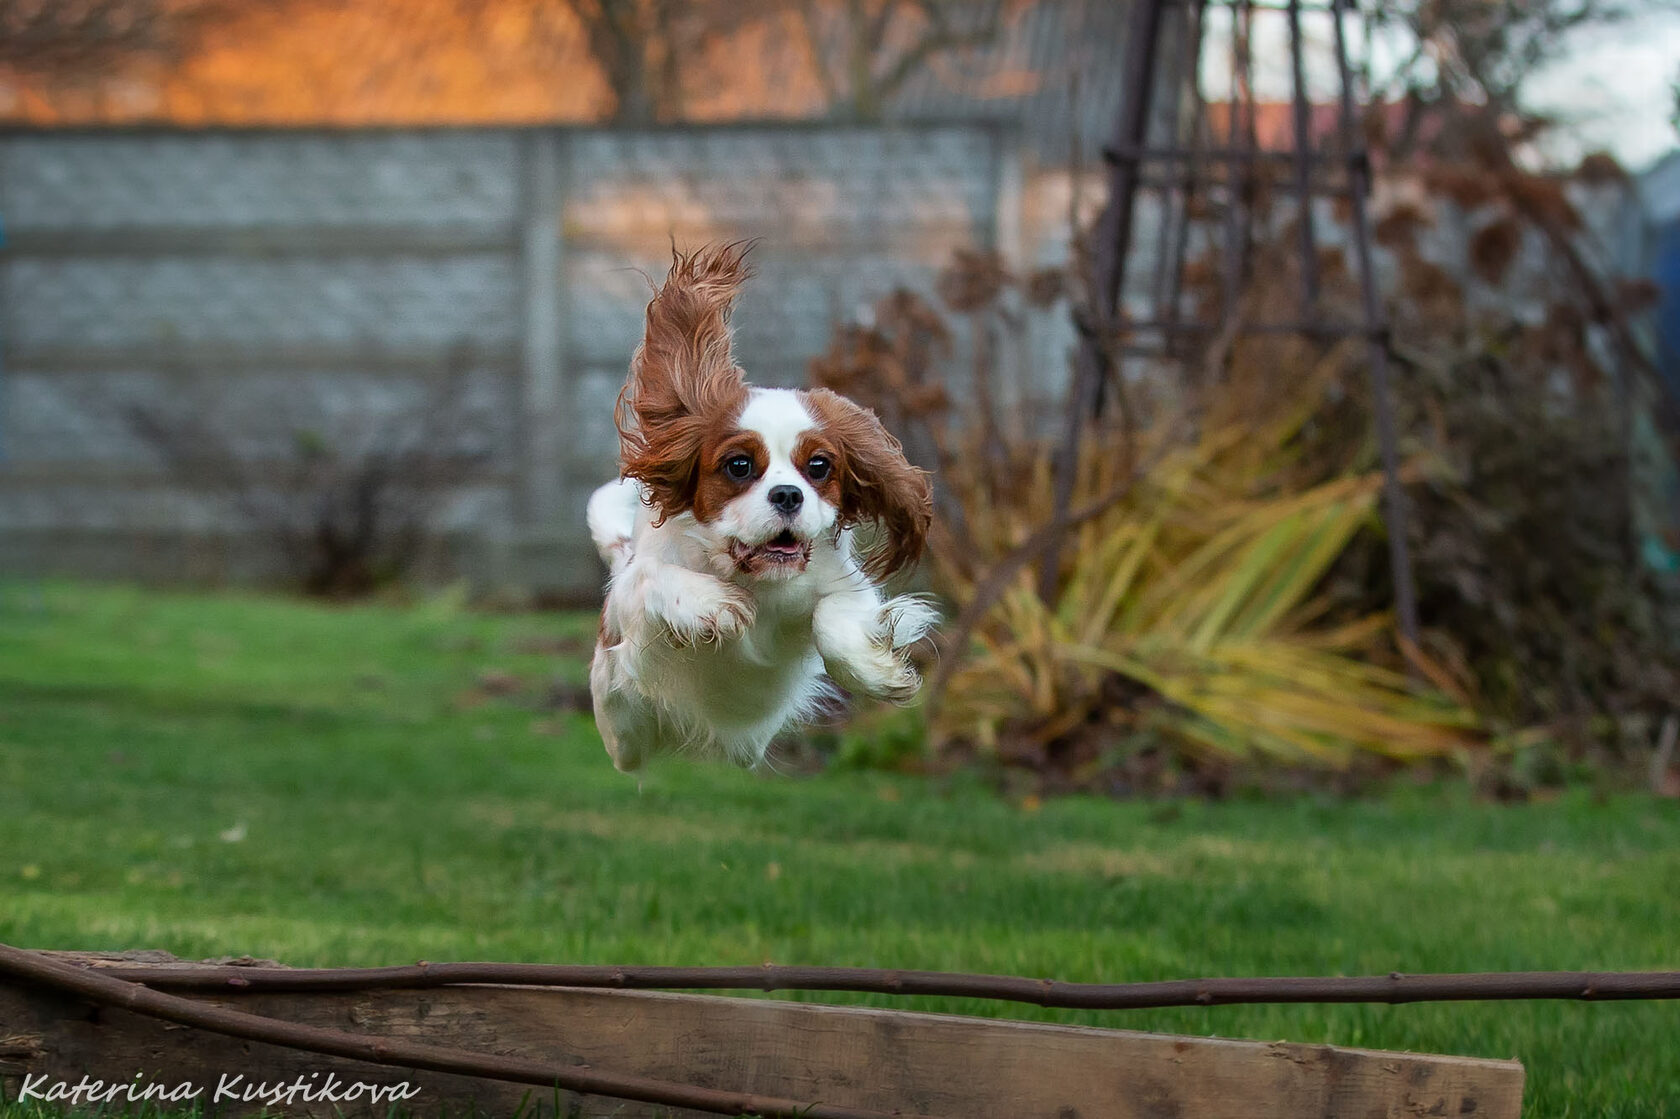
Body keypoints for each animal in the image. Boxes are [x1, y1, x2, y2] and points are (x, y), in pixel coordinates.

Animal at [588, 241, 934, 766]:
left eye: (819, 467)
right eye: (739, 465)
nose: (788, 494)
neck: (755, 579)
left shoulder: (848, 587)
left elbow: (833, 620)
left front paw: (878, 674)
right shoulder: (629, 598)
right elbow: (652, 579)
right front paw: (711, 603)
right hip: (621, 727)